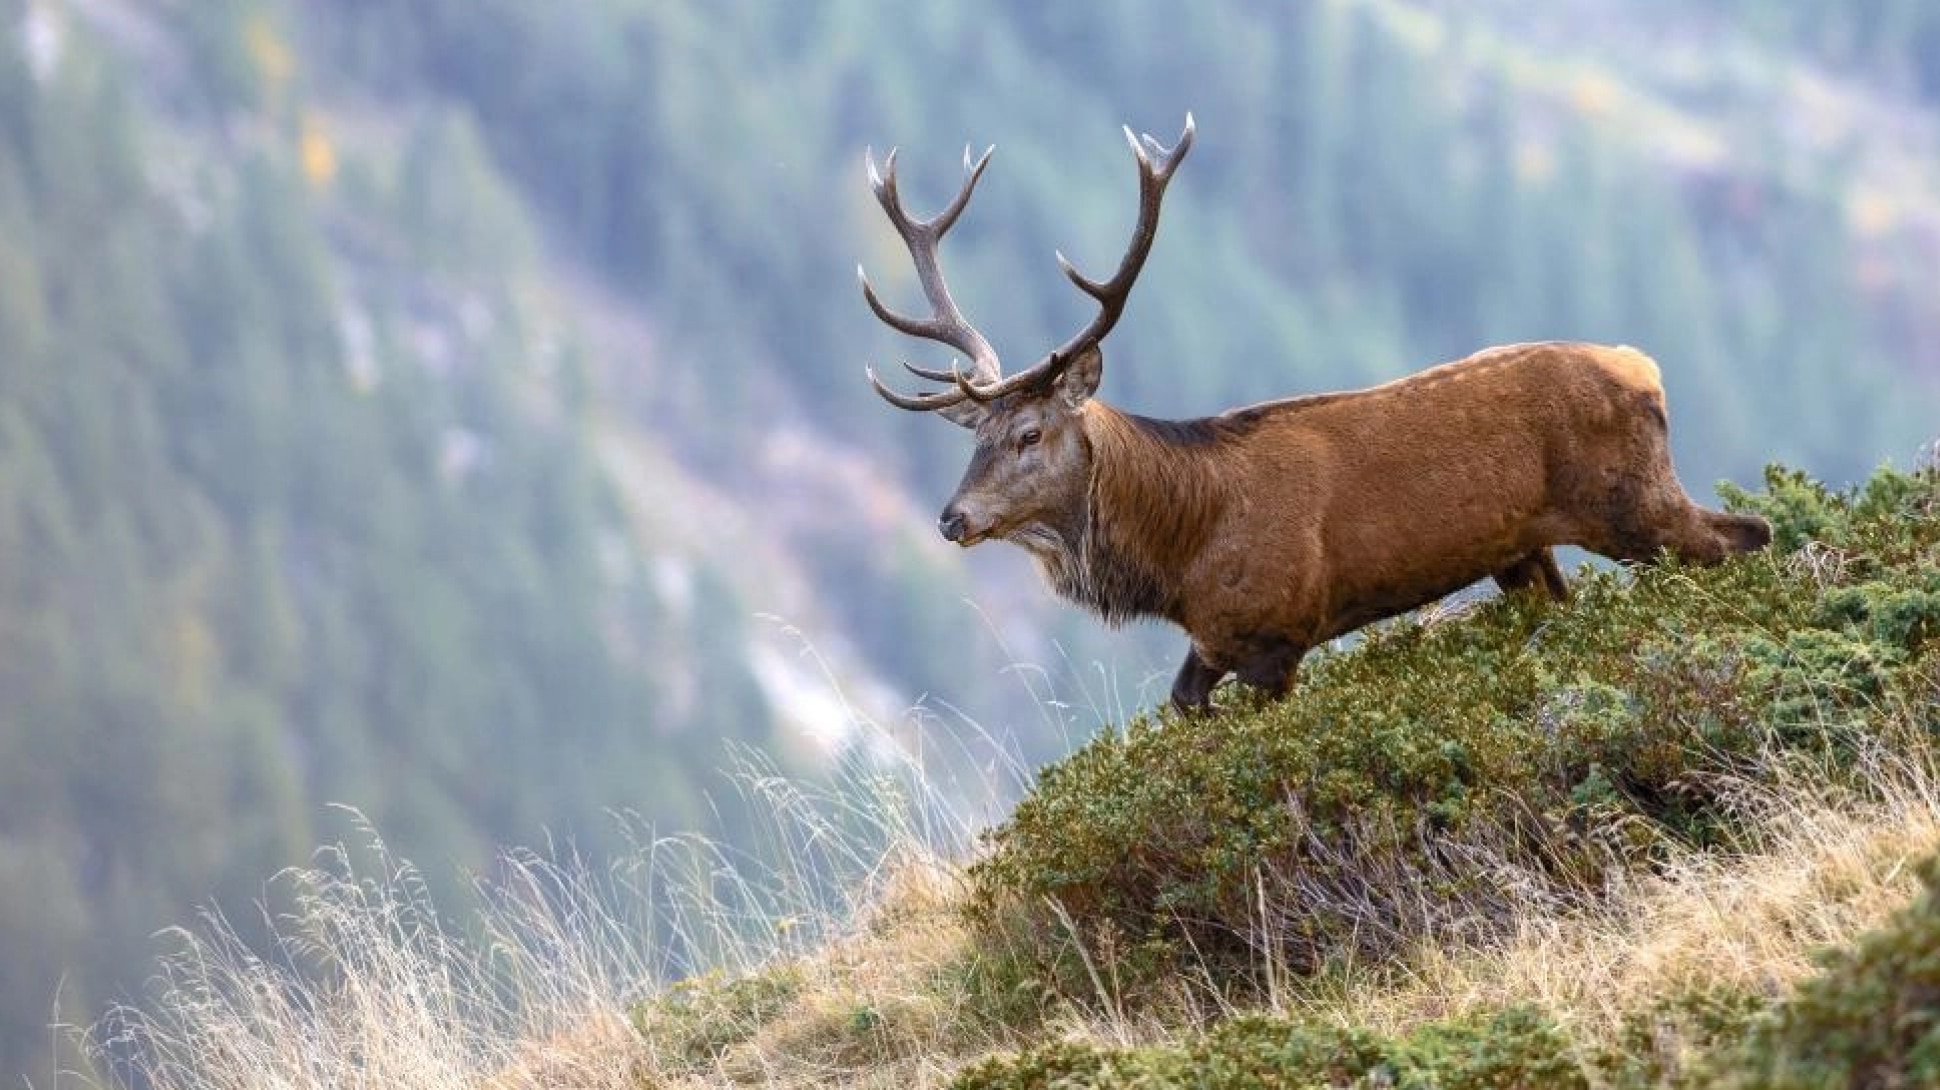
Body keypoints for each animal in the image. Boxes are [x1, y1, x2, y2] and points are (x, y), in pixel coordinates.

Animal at [857, 115, 1773, 712]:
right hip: (1525, 552)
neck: (1180, 556)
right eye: (973, 437)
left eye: (1029, 432)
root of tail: (1645, 368)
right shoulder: (1213, 641)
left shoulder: (1276, 633)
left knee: (1744, 536)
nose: (951, 518)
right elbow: (1184, 708)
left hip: (1631, 502)